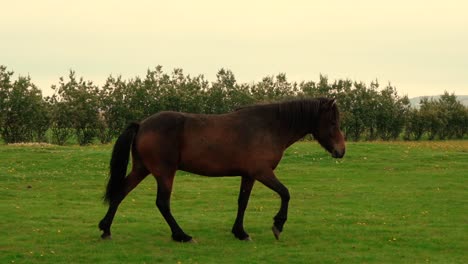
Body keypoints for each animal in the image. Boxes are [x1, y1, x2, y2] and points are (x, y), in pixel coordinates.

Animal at [98, 97, 346, 241]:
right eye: (333, 122)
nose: (341, 151)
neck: (269, 127)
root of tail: (142, 124)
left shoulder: (249, 175)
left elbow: (242, 202)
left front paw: (240, 232)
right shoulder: (262, 172)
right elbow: (285, 193)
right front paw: (278, 225)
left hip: (142, 169)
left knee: (120, 193)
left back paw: (106, 229)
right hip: (164, 173)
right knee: (162, 203)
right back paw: (181, 235)